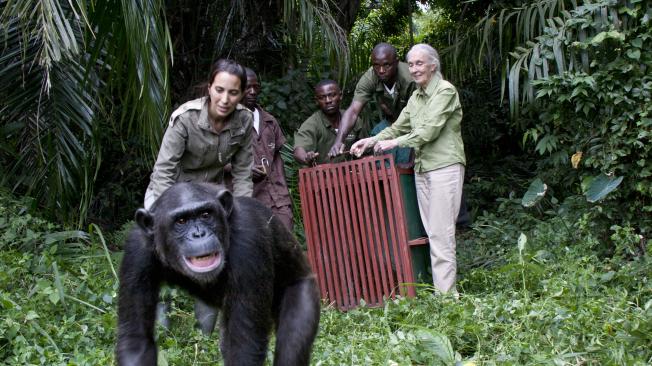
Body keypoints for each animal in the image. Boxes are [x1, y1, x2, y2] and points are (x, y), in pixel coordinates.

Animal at [116, 183, 320, 366]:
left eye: (206, 215)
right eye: (181, 221)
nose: (199, 234)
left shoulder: (249, 241)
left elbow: (244, 345)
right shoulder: (136, 251)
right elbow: (136, 339)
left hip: (303, 288)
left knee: (292, 341)